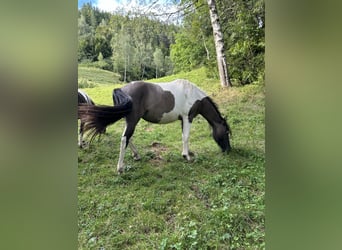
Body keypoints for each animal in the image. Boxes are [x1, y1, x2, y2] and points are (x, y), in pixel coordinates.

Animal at [79, 79, 231, 173]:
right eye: (226, 133)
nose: (228, 150)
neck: (192, 94)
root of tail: (121, 89)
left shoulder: (183, 120)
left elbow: (184, 136)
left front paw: (187, 153)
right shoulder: (188, 118)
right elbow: (186, 137)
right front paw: (187, 157)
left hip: (129, 120)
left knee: (128, 138)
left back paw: (136, 155)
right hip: (133, 120)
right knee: (124, 139)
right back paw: (120, 168)